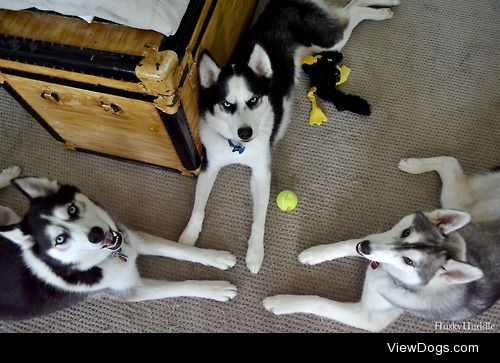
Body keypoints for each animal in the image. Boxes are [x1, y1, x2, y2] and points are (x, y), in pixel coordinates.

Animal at [0, 168, 237, 322]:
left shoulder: (131, 239)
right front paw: (216, 288)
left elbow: (179, 249)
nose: (96, 234)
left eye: (71, 210)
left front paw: (215, 257)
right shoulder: (132, 290)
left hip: (6, 213)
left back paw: (8, 174)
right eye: (60, 239)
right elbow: (180, 287)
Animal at [178, 0, 400, 272]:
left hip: (329, 42)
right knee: (347, 9)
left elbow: (259, 218)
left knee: (352, 13)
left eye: (253, 100)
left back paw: (383, 12)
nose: (246, 132)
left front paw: (255, 253)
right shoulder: (210, 166)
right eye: (227, 104)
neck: (238, 147)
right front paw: (189, 236)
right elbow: (198, 206)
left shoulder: (261, 173)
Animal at [264, 157, 498, 332]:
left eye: (409, 261)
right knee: (450, 162)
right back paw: (414, 164)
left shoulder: (368, 317)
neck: (386, 272)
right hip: (459, 207)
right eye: (406, 232)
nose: (366, 247)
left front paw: (281, 302)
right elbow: (346, 244)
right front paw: (315, 253)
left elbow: (319, 302)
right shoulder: (381, 237)